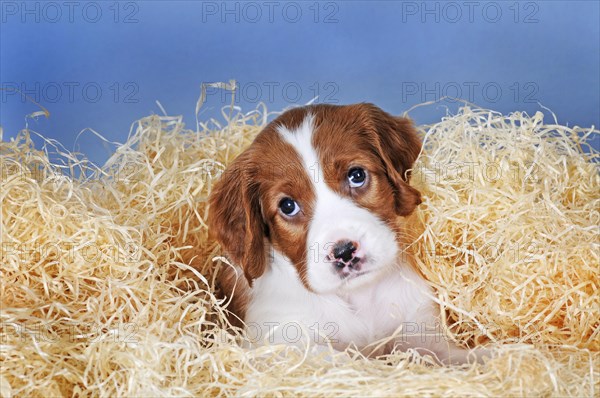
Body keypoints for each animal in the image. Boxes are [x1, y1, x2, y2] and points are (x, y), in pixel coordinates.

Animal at [209, 104, 486, 366]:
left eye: (357, 176)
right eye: (288, 206)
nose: (344, 252)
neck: (359, 295)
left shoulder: (423, 333)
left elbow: (463, 357)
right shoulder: (279, 342)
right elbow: (347, 360)